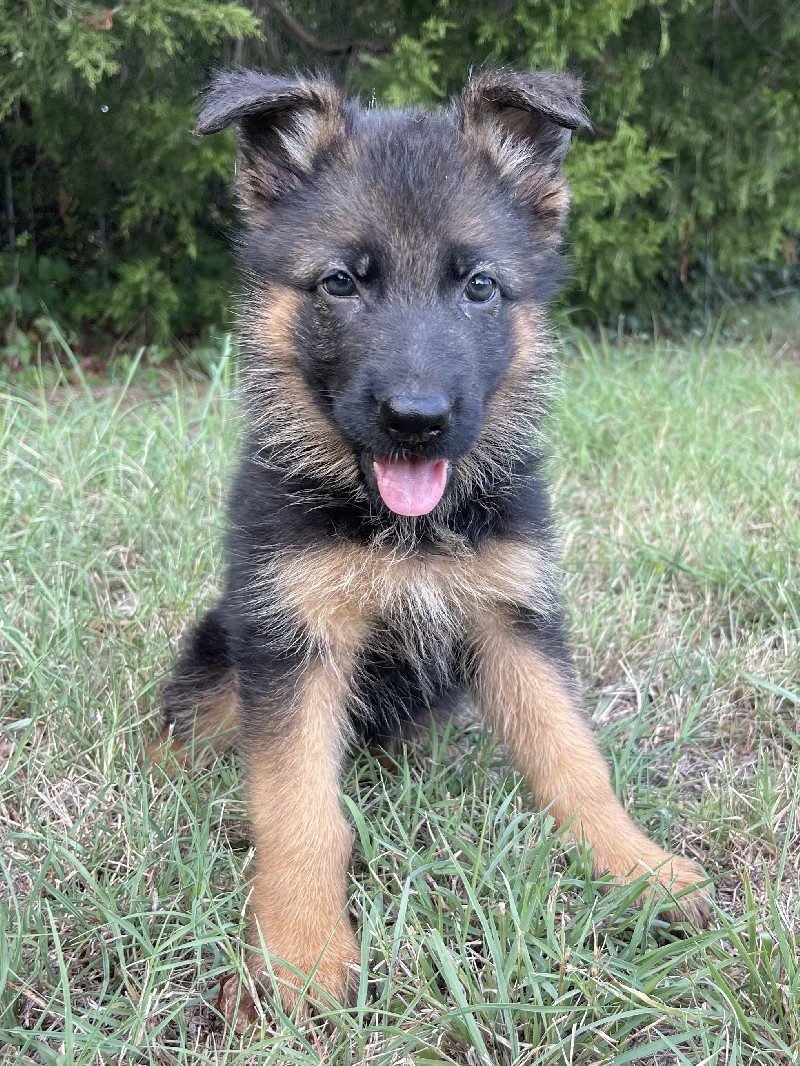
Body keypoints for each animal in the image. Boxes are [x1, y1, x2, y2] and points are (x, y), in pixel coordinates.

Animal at [154, 70, 712, 1027]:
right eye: (341, 282)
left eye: (479, 286)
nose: (416, 420)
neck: (404, 531)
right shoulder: (292, 638)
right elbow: (298, 808)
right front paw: (302, 955)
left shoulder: (512, 617)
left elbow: (574, 757)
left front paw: (639, 869)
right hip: (223, 644)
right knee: (186, 727)